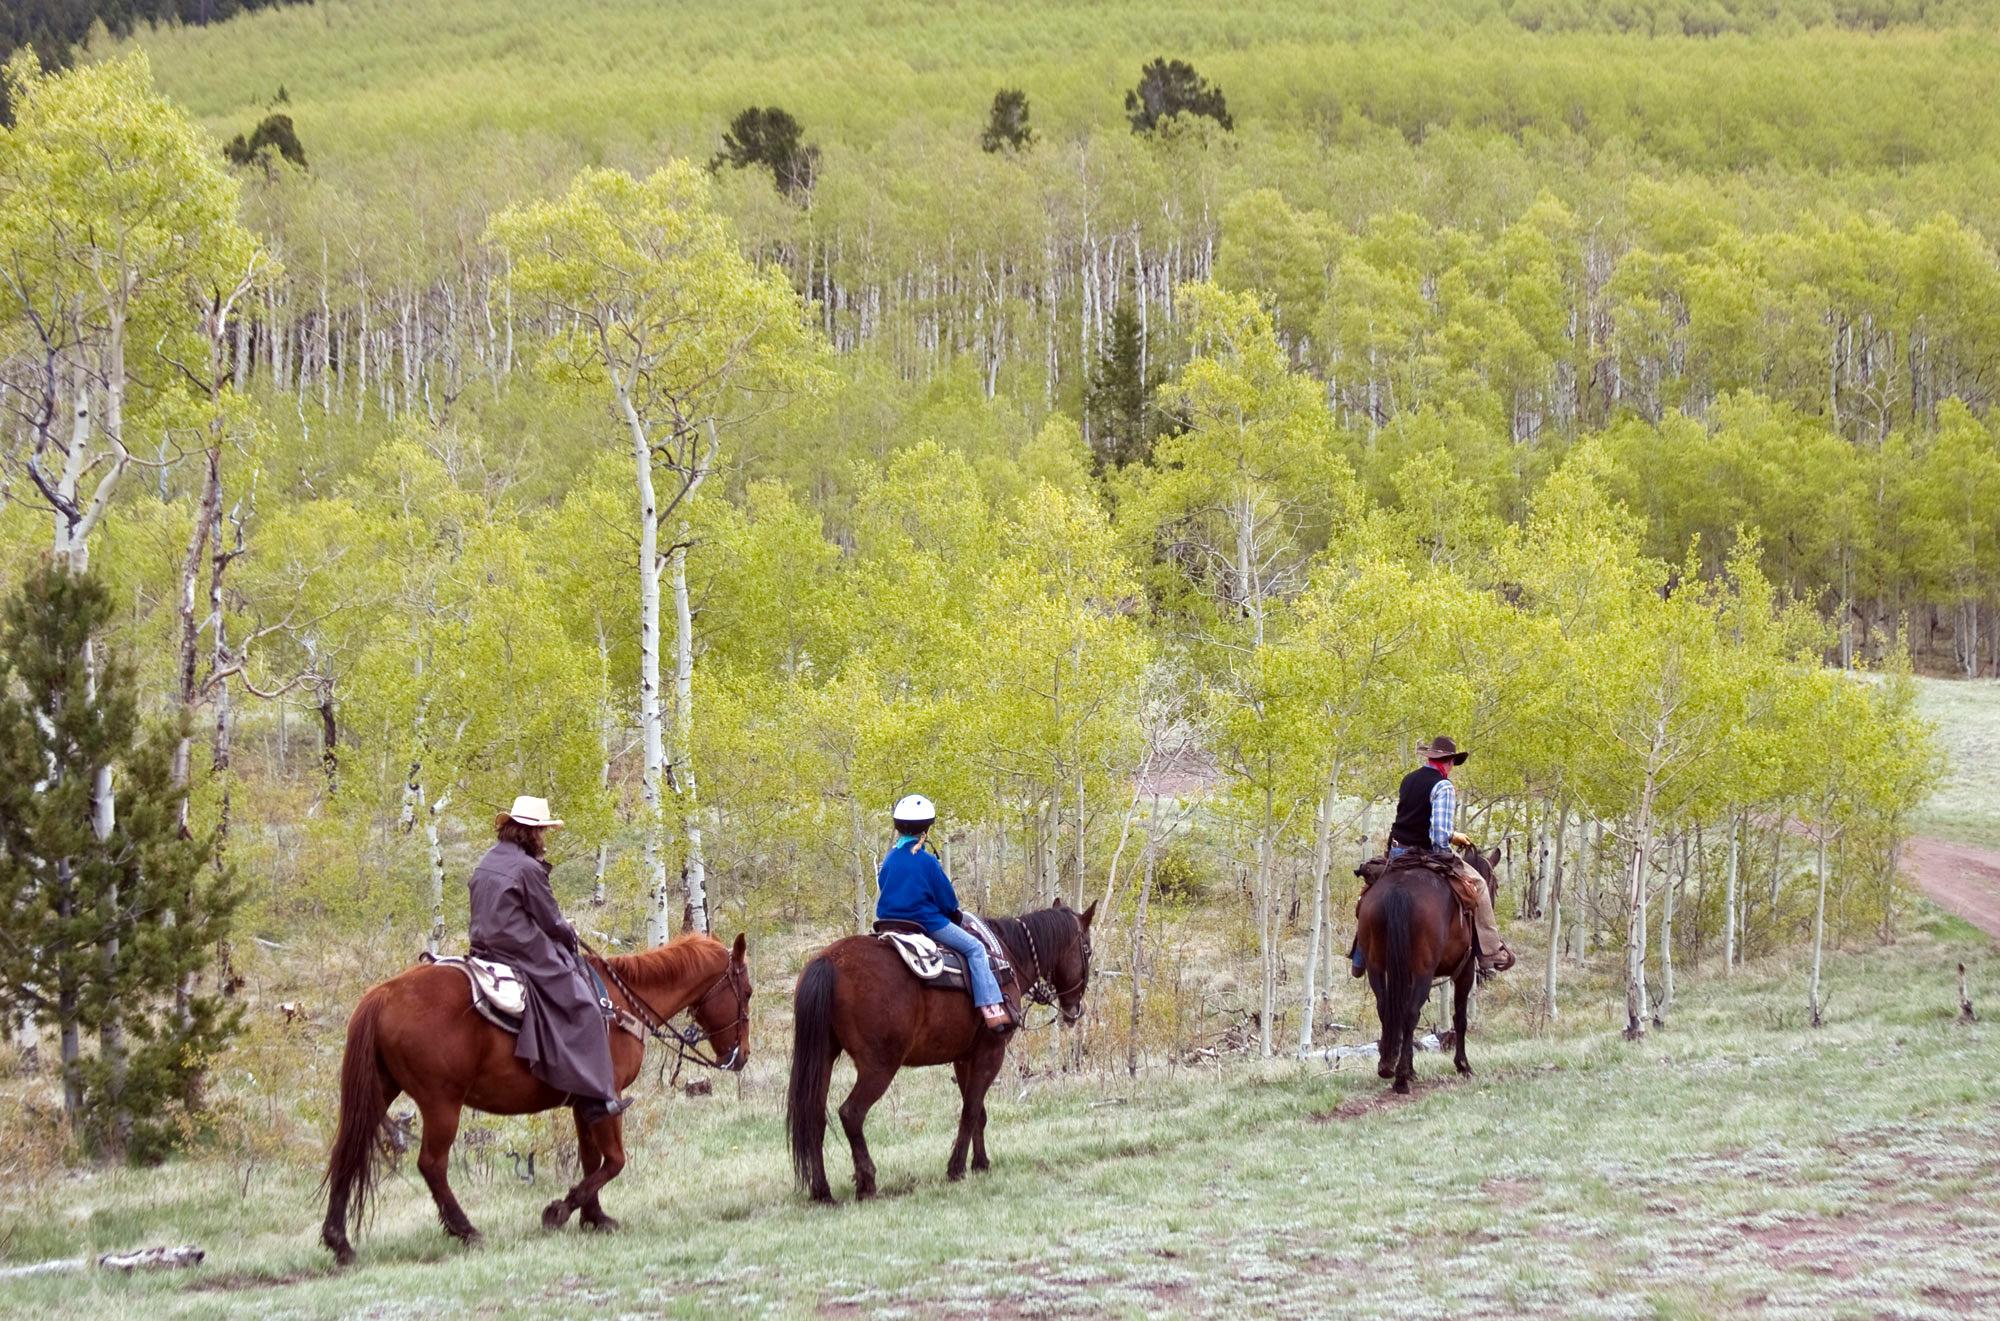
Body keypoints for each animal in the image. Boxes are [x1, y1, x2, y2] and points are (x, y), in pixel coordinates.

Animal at [320, 928, 752, 1256]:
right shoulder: (608, 1098)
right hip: (441, 1104)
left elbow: (590, 1159)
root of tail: (381, 996)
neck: (619, 1002)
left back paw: (339, 1242)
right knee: (432, 1165)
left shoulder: (585, 1104)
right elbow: (614, 1161)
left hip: (380, 1092)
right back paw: (466, 1230)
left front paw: (594, 1217)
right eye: (746, 992)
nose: (741, 1055)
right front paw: (560, 1211)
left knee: (347, 1153)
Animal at [784, 904, 1096, 1200]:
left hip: (824, 1058)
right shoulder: (991, 1053)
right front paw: (956, 1168)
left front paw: (980, 1164)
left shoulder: (964, 1058)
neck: (1008, 958)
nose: (1075, 1009)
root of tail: (829, 962)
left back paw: (822, 1191)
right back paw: (867, 1183)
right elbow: (970, 1111)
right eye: (1087, 949)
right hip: (879, 1066)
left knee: (814, 1117)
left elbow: (978, 1112)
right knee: (851, 1113)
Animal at [1360, 844, 1504, 1096]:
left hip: (1376, 968)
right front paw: (1463, 1066)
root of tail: (1399, 890)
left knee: (1386, 1009)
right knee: (1410, 1013)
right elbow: (1460, 1017)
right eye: (1494, 885)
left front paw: (1410, 1067)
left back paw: (1388, 1067)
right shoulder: (1466, 970)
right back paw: (1400, 1079)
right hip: (1423, 972)